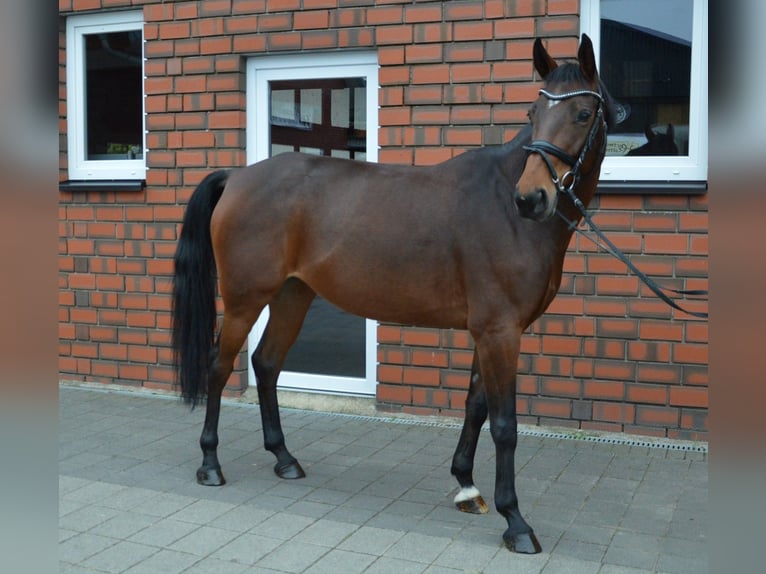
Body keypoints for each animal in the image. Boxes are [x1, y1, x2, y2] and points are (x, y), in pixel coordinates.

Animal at [172, 33, 616, 556]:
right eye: (532, 111)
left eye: (583, 114)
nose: (531, 198)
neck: (504, 209)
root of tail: (237, 177)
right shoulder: (500, 332)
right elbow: (505, 425)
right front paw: (516, 522)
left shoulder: (490, 331)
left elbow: (476, 406)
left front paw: (466, 486)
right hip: (245, 299)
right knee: (219, 367)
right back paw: (210, 465)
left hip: (293, 296)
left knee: (266, 363)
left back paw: (284, 458)